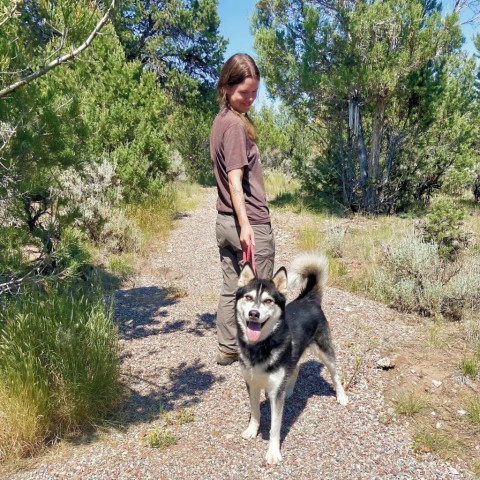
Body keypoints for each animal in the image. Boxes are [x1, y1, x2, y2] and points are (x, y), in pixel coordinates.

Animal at [236, 253, 348, 464]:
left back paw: (342, 396)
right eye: (248, 297)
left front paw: (273, 452)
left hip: (325, 352)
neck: (260, 347)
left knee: (336, 375)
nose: (254, 313)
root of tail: (309, 299)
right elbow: (255, 412)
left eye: (268, 301)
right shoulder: (252, 384)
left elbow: (275, 427)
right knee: (295, 368)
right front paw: (252, 430)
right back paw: (288, 391)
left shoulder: (274, 394)